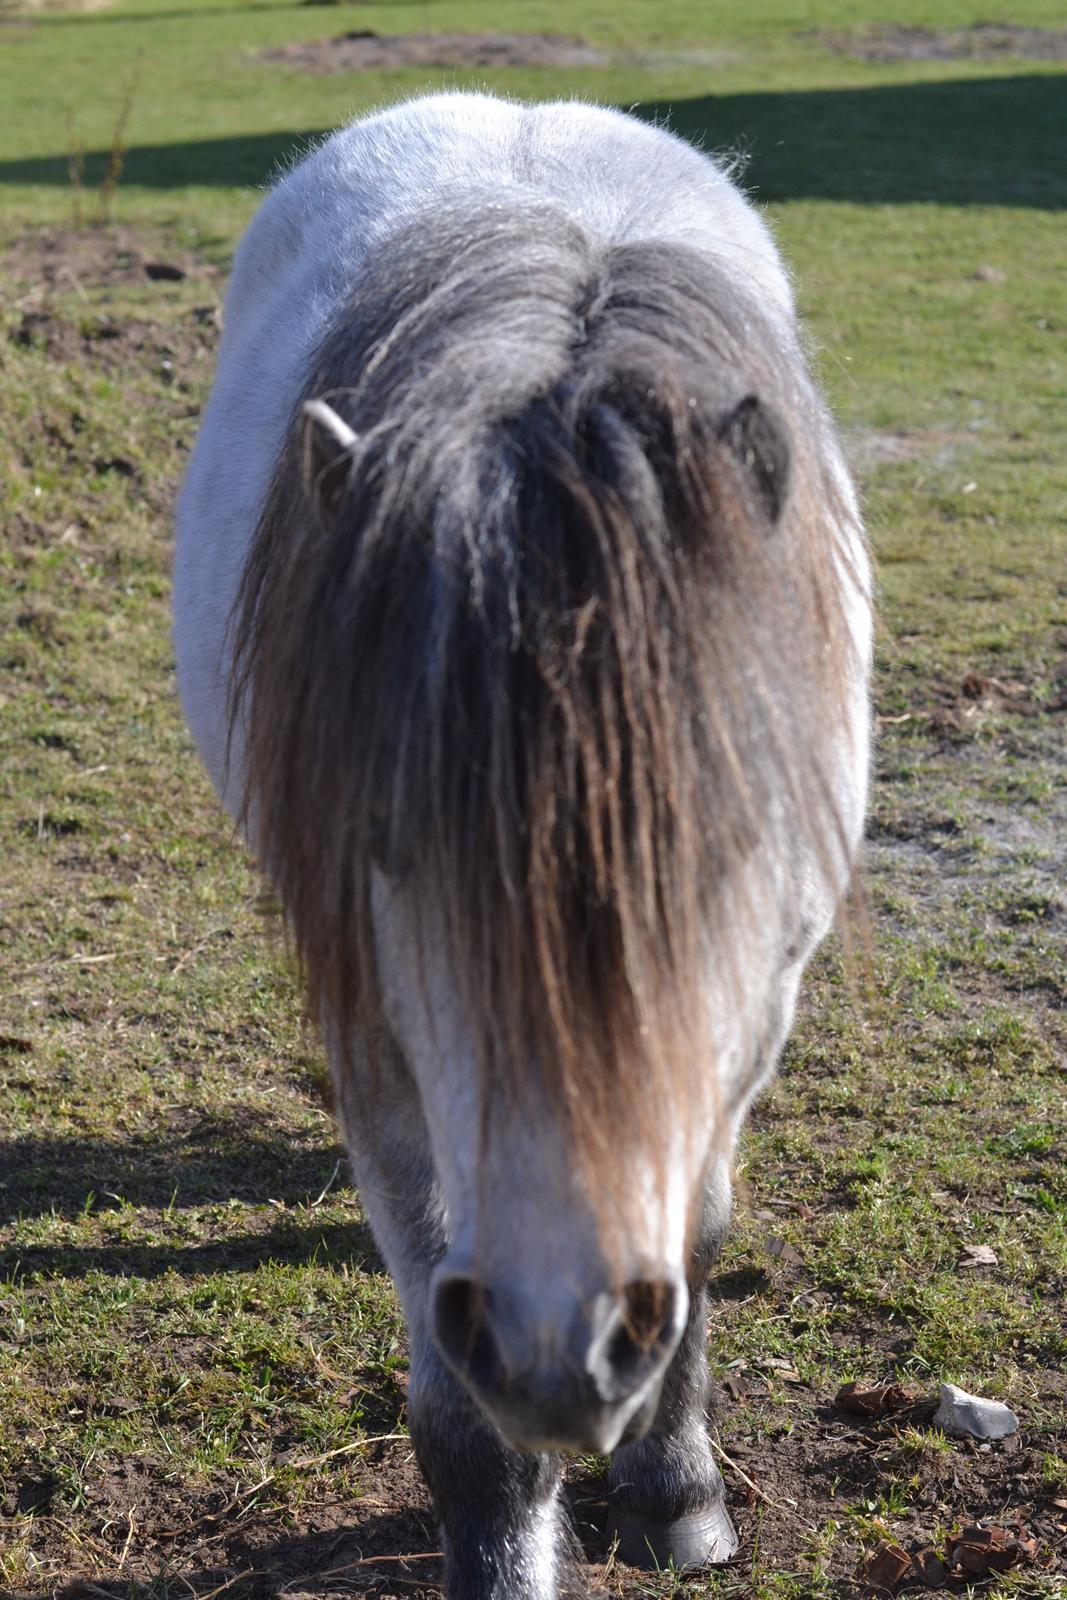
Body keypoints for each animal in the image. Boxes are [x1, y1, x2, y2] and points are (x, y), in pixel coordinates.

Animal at [175, 90, 870, 1600]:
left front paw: (677, 1494)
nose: (565, 1346)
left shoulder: (757, 1007)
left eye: (726, 841)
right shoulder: (378, 1036)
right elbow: (462, 1406)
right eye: (383, 842)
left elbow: (698, 1233)